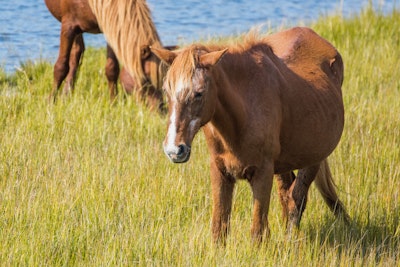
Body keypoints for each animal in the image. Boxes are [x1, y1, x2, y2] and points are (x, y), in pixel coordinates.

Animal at [152, 27, 350, 245]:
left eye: (199, 93)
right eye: (166, 90)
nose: (174, 149)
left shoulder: (262, 173)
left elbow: (258, 232)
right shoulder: (220, 171)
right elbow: (219, 229)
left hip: (313, 159)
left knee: (296, 200)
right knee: (287, 196)